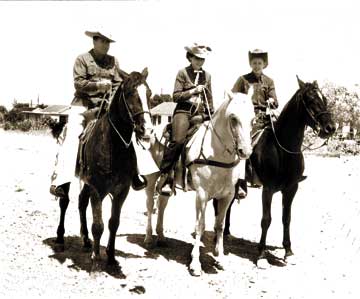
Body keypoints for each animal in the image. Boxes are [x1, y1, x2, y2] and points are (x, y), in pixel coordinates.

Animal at [54, 68, 153, 268]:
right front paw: (96, 259)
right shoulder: (97, 190)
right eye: (130, 93)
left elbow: (113, 223)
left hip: (86, 183)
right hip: (70, 180)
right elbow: (98, 225)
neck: (113, 146)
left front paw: (111, 256)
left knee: (81, 203)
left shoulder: (121, 191)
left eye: (149, 94)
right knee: (64, 202)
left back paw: (85, 240)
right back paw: (60, 239)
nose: (147, 131)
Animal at [143, 91, 253, 276]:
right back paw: (149, 237)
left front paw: (220, 258)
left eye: (253, 118)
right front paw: (195, 263)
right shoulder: (202, 195)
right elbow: (200, 227)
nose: (245, 151)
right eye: (233, 117)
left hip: (166, 184)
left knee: (162, 204)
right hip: (151, 179)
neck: (217, 154)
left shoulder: (227, 196)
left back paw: (161, 237)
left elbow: (220, 225)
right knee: (151, 206)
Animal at [224, 76, 336, 264]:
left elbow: (286, 218)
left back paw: (226, 233)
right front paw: (261, 254)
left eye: (325, 99)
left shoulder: (291, 189)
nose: (331, 128)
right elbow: (266, 219)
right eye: (310, 99)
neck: (283, 149)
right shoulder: (268, 189)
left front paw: (288, 251)